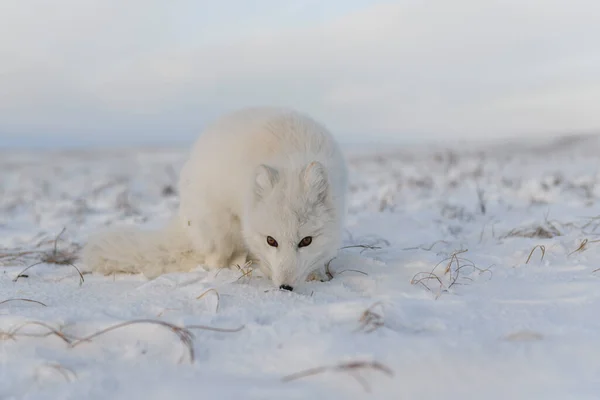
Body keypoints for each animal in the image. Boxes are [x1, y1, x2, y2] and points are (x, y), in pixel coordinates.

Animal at [82, 107, 350, 290]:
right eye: (271, 240)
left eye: (306, 241)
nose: (285, 287)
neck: (291, 158)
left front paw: (317, 274)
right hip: (219, 227)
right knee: (214, 259)